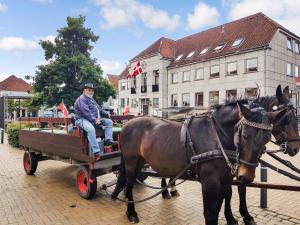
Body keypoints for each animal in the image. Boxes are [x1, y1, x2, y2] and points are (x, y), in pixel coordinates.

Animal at [112, 102, 286, 225]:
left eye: (266, 139)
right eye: (244, 135)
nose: (246, 177)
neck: (217, 136)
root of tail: (128, 123)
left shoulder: (226, 178)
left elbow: (222, 202)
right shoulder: (210, 181)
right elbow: (210, 213)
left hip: (141, 161)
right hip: (131, 161)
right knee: (129, 184)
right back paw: (131, 212)